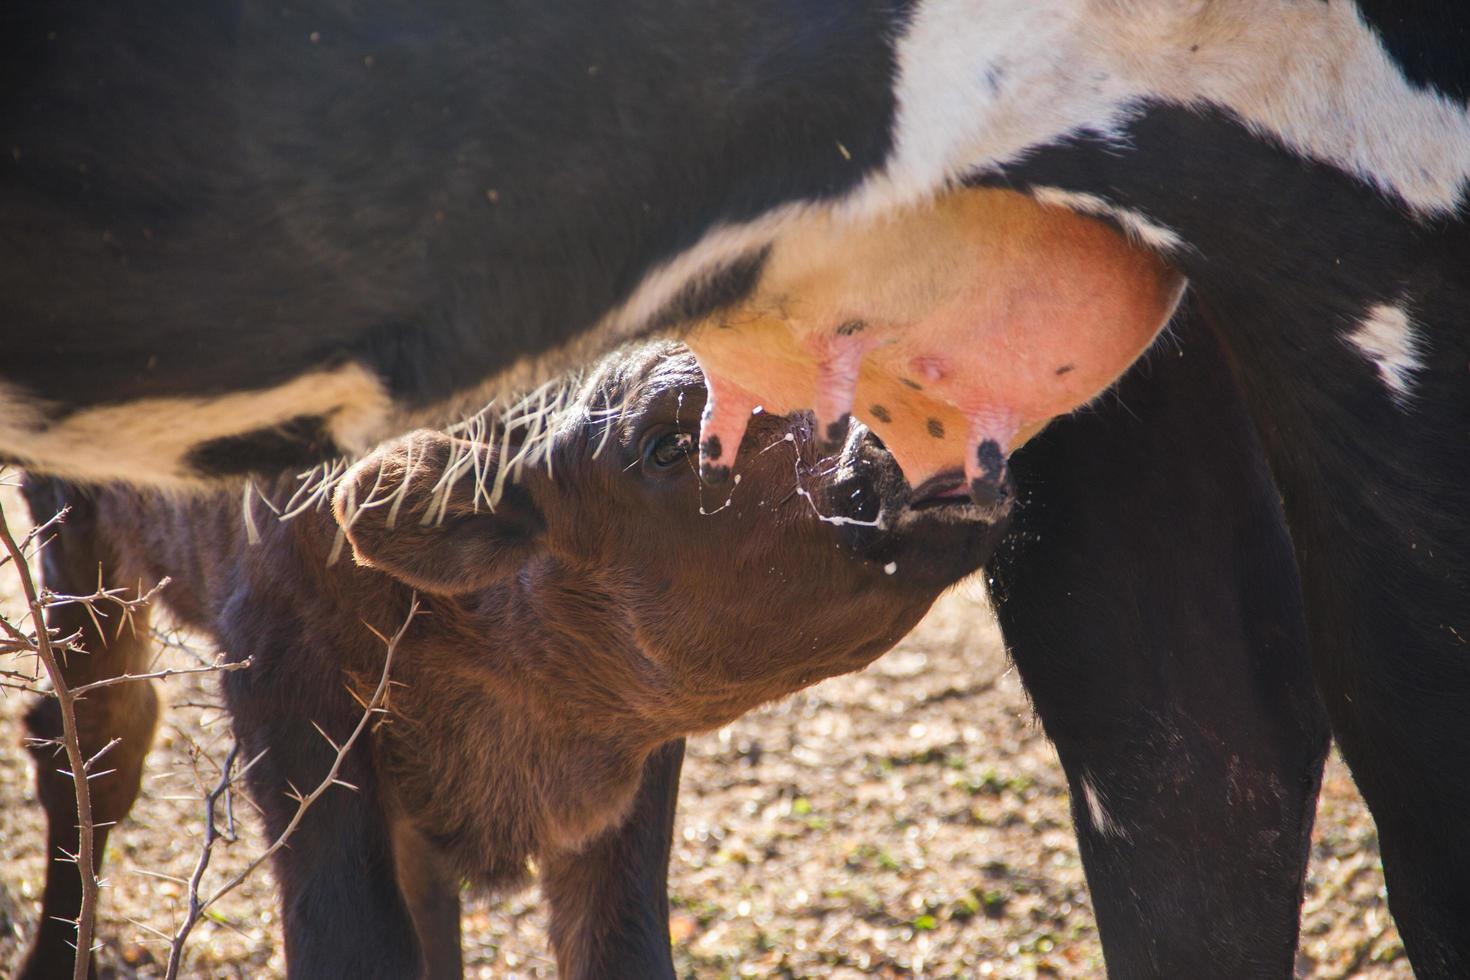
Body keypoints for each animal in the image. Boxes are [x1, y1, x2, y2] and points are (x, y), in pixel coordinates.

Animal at [14, 345, 1011, 980]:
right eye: (665, 444)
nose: (900, 445)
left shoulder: (628, 759)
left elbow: (616, 949)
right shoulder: (285, 693)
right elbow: (356, 946)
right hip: (77, 552)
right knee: (91, 749)